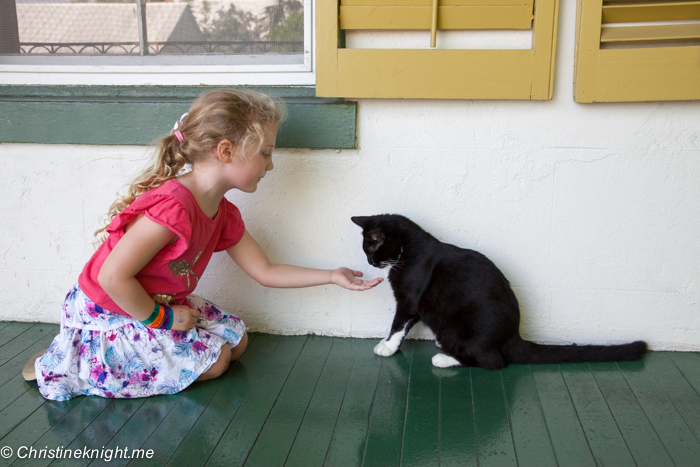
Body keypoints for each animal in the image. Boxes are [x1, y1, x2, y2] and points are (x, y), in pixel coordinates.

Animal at [352, 214, 648, 372]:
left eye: (370, 251)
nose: (369, 263)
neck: (407, 250)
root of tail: (513, 336)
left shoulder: (409, 299)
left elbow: (398, 324)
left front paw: (387, 346)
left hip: (463, 324)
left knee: (492, 361)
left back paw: (445, 357)